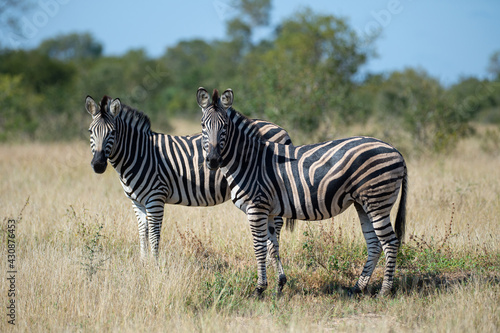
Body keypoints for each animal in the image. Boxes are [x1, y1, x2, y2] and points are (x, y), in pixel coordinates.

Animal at [84, 94, 294, 262]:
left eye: (112, 132)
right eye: (90, 132)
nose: (98, 165)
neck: (140, 154)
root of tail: (281, 128)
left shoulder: (155, 198)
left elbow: (154, 235)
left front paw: (154, 266)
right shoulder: (137, 202)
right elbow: (143, 233)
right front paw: (143, 263)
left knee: (276, 224)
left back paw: (272, 259)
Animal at [195, 86, 406, 296]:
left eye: (224, 126)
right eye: (203, 125)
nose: (213, 160)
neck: (249, 161)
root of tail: (396, 151)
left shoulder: (256, 207)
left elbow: (259, 248)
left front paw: (259, 289)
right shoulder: (268, 211)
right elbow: (272, 246)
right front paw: (279, 285)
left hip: (378, 201)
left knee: (390, 243)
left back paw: (384, 292)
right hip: (363, 203)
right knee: (374, 244)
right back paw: (357, 288)